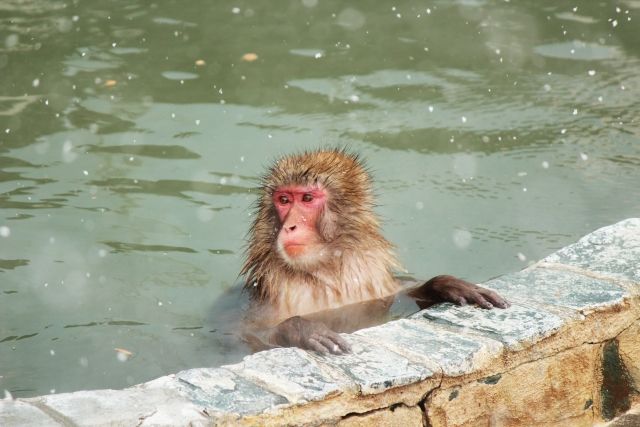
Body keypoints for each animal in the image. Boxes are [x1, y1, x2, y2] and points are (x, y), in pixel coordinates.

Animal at [240, 149, 509, 354]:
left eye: (307, 198)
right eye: (284, 200)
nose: (290, 226)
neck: (326, 271)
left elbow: (399, 296)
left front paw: (445, 284)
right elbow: (248, 337)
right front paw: (302, 329)